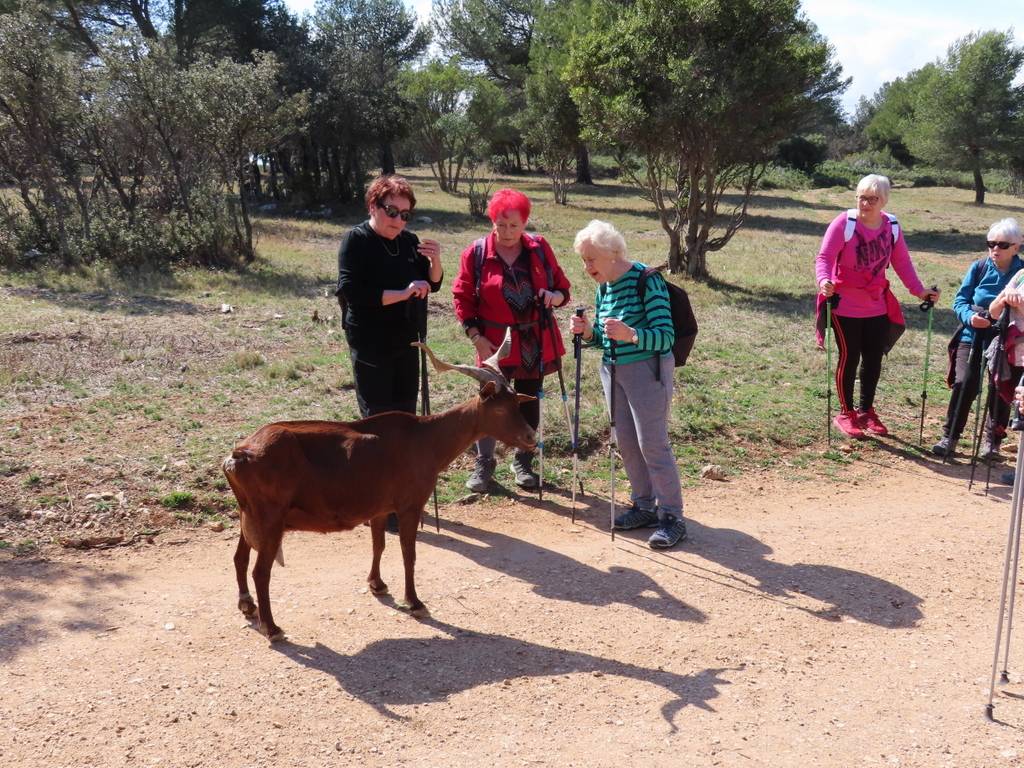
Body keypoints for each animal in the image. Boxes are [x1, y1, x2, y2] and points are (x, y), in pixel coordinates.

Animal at [223, 335, 536, 643]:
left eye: (516, 402)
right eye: (499, 408)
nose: (531, 437)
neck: (427, 440)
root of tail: (238, 456)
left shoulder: (379, 508)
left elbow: (379, 544)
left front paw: (377, 584)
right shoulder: (410, 505)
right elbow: (408, 553)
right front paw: (415, 602)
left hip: (249, 514)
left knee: (239, 557)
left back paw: (247, 604)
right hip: (270, 517)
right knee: (260, 571)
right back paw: (272, 628)